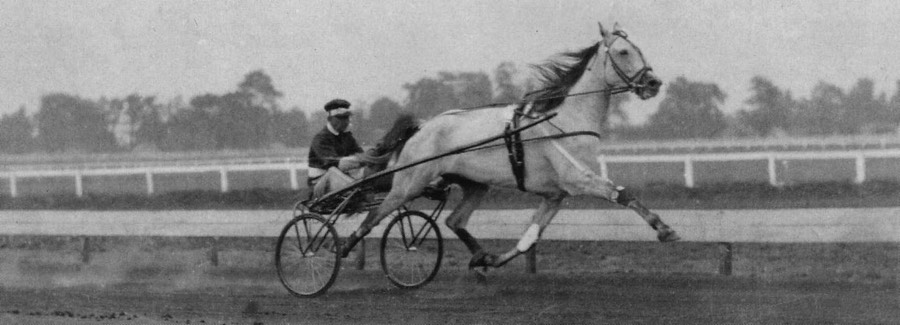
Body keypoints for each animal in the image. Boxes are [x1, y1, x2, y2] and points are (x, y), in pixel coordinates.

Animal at [342, 21, 680, 268]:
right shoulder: (577, 178)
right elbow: (623, 194)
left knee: (454, 220)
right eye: (623, 52)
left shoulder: (555, 194)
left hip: (474, 184)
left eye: (637, 49)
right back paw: (342, 248)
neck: (565, 118)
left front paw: (494, 259)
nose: (653, 83)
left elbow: (529, 237)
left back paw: (480, 256)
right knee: (373, 216)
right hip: (409, 183)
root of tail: (424, 126)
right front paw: (664, 229)